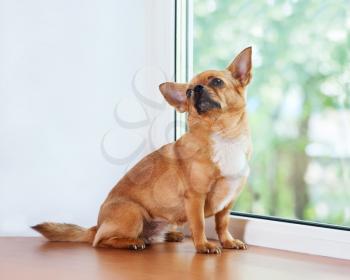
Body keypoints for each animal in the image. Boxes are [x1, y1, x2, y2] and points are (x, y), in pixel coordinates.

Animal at [32, 47, 252, 254]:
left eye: (217, 82)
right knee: (101, 241)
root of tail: (96, 226)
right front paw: (203, 245)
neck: (223, 135)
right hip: (133, 212)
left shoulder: (227, 203)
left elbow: (222, 224)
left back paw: (170, 235)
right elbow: (198, 225)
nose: (196, 89)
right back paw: (131, 242)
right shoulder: (195, 197)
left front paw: (228, 242)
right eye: (188, 92)